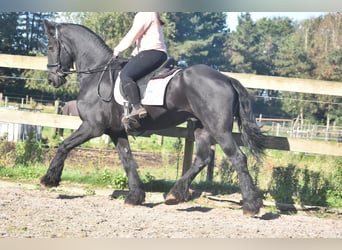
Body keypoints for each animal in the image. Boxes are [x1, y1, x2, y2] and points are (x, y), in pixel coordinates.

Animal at [40, 20, 264, 215]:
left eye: (50, 47)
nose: (52, 80)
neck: (97, 74)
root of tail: (226, 79)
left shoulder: (92, 126)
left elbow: (64, 145)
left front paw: (49, 179)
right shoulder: (116, 131)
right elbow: (128, 160)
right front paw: (135, 196)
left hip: (219, 128)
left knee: (237, 158)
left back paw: (251, 205)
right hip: (203, 128)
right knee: (202, 158)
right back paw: (175, 194)